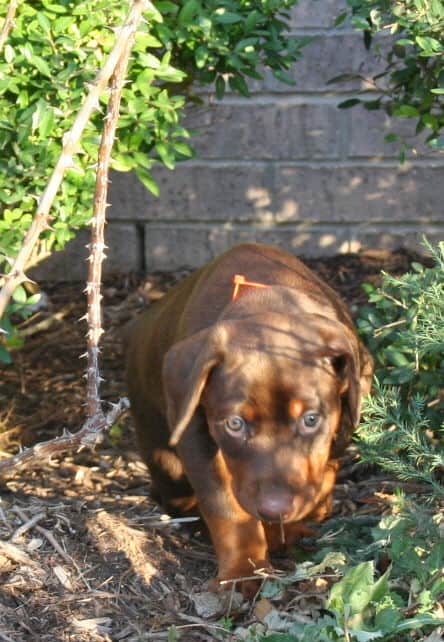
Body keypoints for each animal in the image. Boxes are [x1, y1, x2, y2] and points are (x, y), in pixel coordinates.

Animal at [126, 241, 372, 596]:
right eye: (235, 424)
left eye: (311, 419)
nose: (274, 508)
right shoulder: (196, 436)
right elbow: (227, 508)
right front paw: (244, 571)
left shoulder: (343, 421)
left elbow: (323, 473)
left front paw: (294, 523)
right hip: (163, 454)